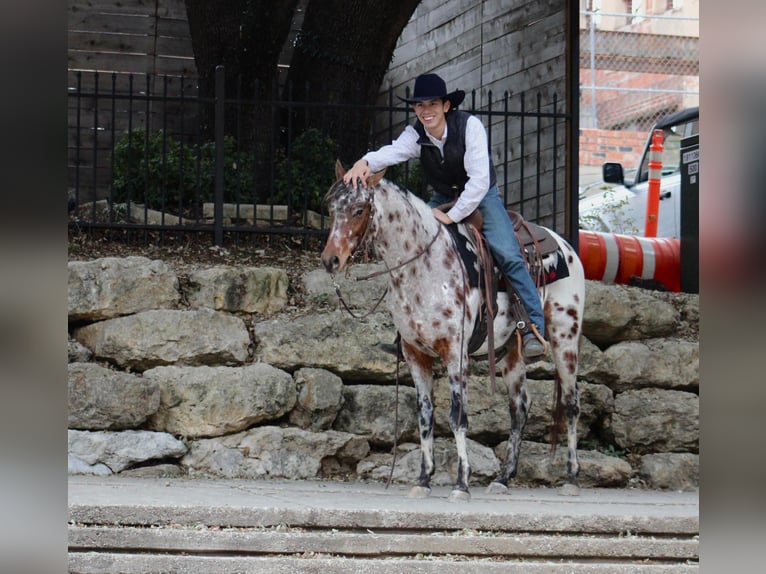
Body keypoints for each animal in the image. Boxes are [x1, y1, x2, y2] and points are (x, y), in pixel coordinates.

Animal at [320, 164, 584, 502]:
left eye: (358, 209)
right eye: (331, 208)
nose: (331, 260)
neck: (423, 267)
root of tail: (565, 247)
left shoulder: (455, 353)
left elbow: (458, 417)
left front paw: (461, 483)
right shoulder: (415, 355)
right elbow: (425, 417)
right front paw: (423, 479)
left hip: (565, 338)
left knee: (571, 404)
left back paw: (572, 478)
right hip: (511, 352)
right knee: (520, 408)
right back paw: (503, 478)